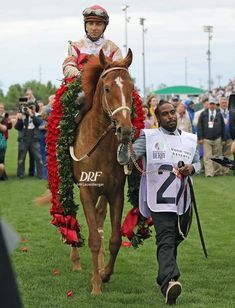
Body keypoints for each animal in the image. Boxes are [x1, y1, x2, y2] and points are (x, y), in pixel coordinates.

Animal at [70, 49, 134, 294]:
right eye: (107, 88)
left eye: (131, 88)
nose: (125, 130)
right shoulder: (87, 192)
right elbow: (93, 240)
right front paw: (96, 286)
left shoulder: (115, 193)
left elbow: (114, 239)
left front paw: (104, 273)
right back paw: (76, 261)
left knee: (98, 219)